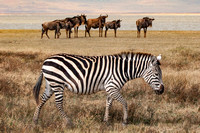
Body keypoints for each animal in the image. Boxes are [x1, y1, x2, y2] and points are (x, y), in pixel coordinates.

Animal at [32, 51, 164, 126]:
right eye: (156, 74)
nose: (162, 90)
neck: (123, 69)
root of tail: (45, 61)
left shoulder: (111, 88)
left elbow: (108, 104)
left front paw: (106, 122)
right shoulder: (112, 87)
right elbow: (125, 103)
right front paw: (125, 121)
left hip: (51, 84)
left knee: (42, 100)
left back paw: (35, 121)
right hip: (57, 84)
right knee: (58, 104)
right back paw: (69, 123)